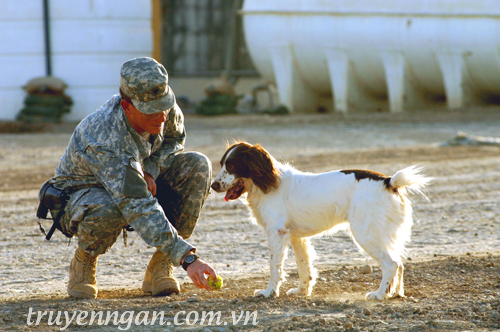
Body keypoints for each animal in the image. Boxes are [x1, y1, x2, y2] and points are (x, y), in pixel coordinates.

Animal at [209, 141, 432, 300]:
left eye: (232, 165)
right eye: (221, 164)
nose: (212, 185)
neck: (269, 183)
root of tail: (389, 181)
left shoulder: (276, 233)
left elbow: (275, 267)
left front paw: (269, 292)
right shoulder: (296, 237)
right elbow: (304, 267)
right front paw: (302, 292)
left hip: (365, 234)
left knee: (391, 264)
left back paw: (379, 294)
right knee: (399, 263)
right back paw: (395, 294)